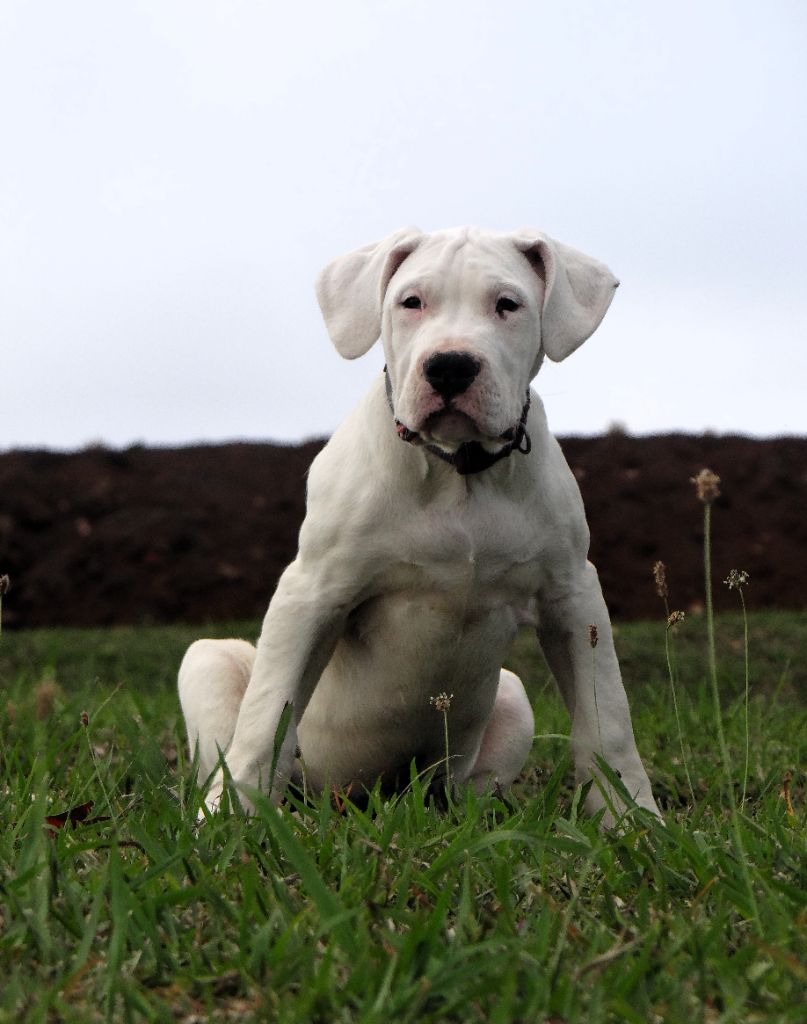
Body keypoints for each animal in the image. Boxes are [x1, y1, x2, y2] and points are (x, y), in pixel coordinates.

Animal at [179, 228, 659, 819]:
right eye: (411, 302)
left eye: (507, 304)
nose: (450, 366)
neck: (458, 471)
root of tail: (359, 799)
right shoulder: (310, 592)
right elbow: (267, 715)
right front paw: (230, 820)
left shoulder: (572, 596)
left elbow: (606, 720)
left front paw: (633, 818)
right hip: (208, 659)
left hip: (511, 697)